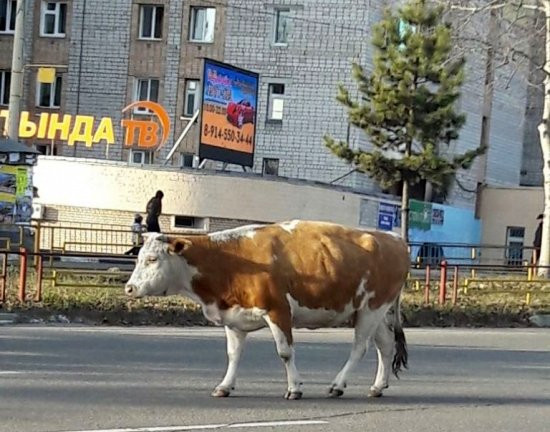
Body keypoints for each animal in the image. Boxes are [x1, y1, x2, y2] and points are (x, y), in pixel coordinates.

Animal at [125, 220, 410, 400]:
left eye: (152, 259)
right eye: (138, 258)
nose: (129, 288)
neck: (230, 261)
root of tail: (394, 238)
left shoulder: (278, 310)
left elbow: (285, 352)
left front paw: (294, 388)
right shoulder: (234, 317)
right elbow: (233, 355)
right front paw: (225, 386)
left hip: (372, 308)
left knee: (360, 348)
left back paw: (338, 385)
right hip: (373, 311)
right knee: (385, 345)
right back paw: (377, 387)